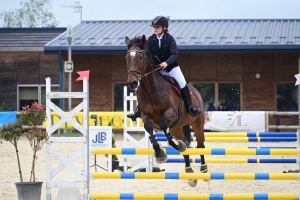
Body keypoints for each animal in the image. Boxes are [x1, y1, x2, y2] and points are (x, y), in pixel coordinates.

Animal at [125, 34, 207, 188]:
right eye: (127, 57)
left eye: (141, 57)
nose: (132, 83)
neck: (150, 88)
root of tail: (195, 91)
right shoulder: (145, 116)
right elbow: (149, 128)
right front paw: (160, 153)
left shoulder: (171, 113)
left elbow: (163, 123)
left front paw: (174, 145)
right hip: (177, 127)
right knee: (185, 147)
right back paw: (189, 173)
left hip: (197, 123)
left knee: (200, 144)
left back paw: (204, 169)